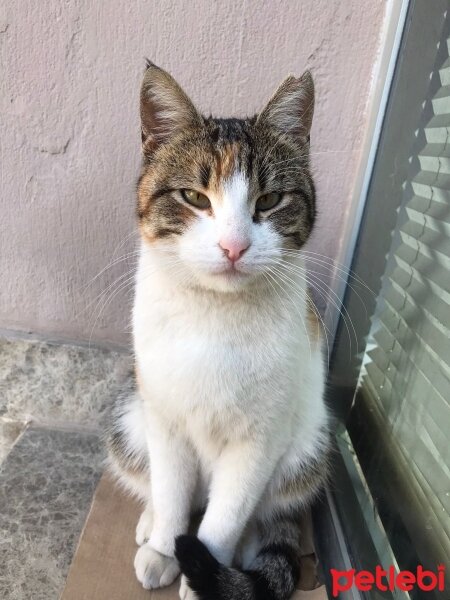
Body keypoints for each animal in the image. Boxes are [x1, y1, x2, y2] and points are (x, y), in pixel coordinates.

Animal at [106, 62, 330, 600]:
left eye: (270, 199)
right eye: (193, 197)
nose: (234, 246)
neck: (215, 315)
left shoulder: (261, 439)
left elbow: (227, 515)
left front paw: (203, 569)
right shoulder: (163, 417)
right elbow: (171, 490)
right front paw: (166, 549)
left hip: (306, 450)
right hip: (129, 415)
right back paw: (150, 524)